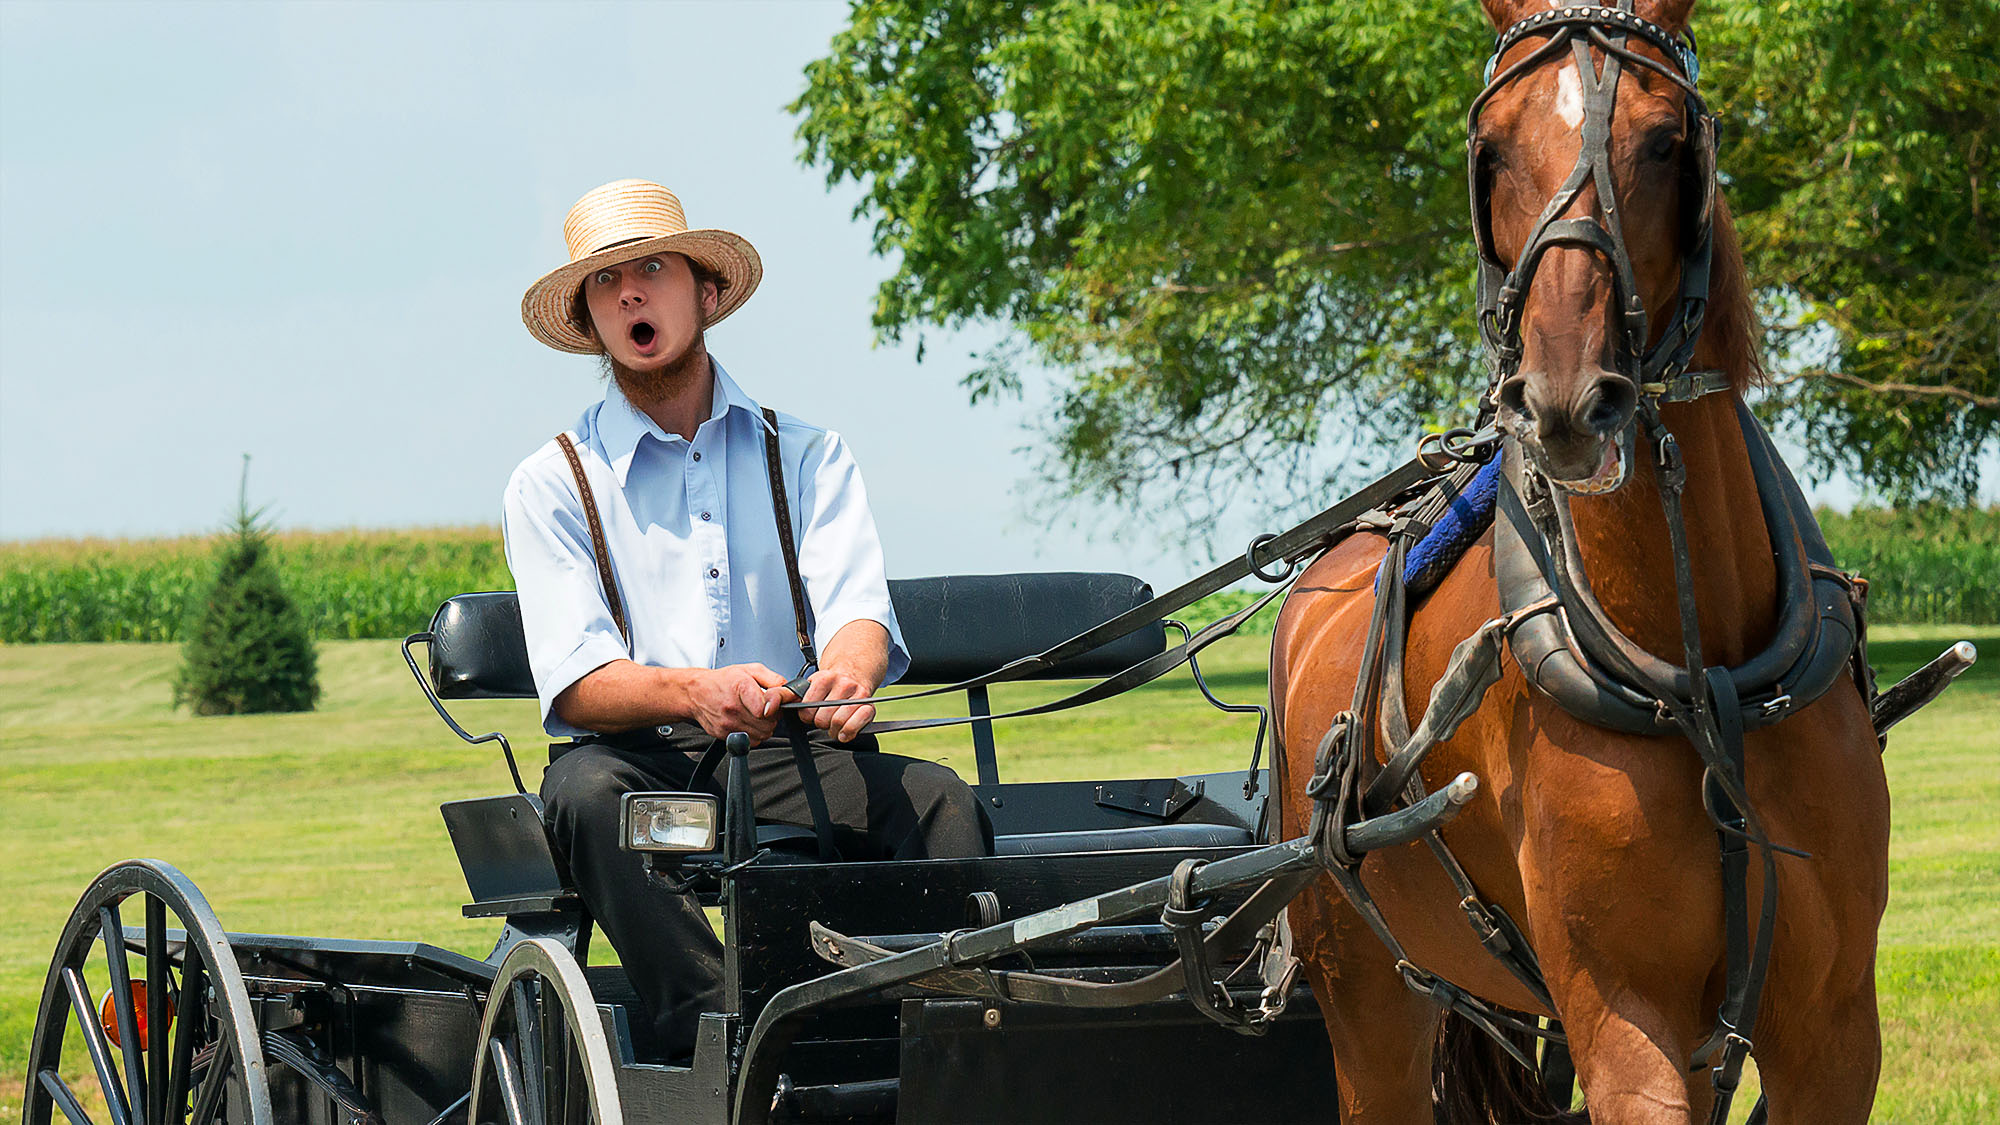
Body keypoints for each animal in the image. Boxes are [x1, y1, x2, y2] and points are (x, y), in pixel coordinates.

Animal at [1272, 2, 1880, 1120]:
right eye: (1490, 149)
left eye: (1666, 141)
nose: (1562, 400)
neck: (1696, 665)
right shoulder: (1622, 1021)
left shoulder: (1832, 1033)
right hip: (1367, 993)